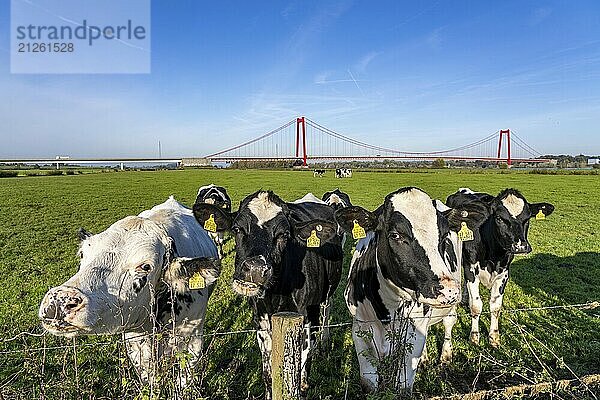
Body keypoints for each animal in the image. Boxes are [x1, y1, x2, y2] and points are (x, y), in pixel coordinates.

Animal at [39, 197, 220, 388]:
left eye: (145, 266)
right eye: (83, 253)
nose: (60, 300)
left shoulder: (193, 339)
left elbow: (184, 380)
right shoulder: (135, 341)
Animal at [192, 192, 342, 398]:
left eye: (284, 235)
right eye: (237, 228)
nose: (256, 269)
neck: (277, 295)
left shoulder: (306, 319)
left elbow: (299, 376)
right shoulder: (261, 322)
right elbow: (269, 375)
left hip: (328, 291)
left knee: (327, 309)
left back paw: (324, 342)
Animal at [336, 188, 490, 394]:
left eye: (444, 236)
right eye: (395, 235)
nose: (448, 290)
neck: (389, 310)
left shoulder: (413, 335)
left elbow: (403, 385)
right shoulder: (361, 329)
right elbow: (369, 384)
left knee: (449, 323)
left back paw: (445, 356)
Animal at [448, 188, 556, 346]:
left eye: (527, 219)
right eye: (499, 218)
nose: (520, 246)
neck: (493, 255)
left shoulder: (504, 273)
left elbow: (495, 306)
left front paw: (494, 337)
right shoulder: (470, 268)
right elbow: (476, 305)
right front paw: (474, 337)